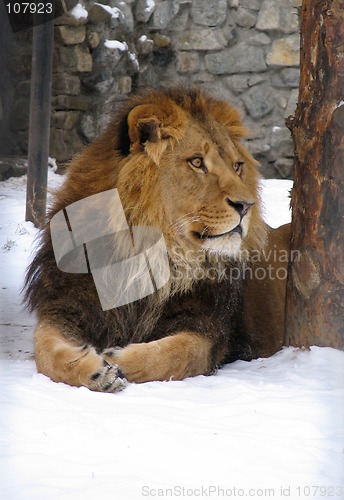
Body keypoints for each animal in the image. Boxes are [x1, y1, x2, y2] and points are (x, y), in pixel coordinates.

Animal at [24, 86, 290, 392]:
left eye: (237, 166)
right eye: (197, 162)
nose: (247, 206)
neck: (144, 253)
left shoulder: (208, 330)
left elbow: (174, 353)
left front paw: (115, 359)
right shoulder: (66, 305)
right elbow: (46, 350)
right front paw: (96, 371)